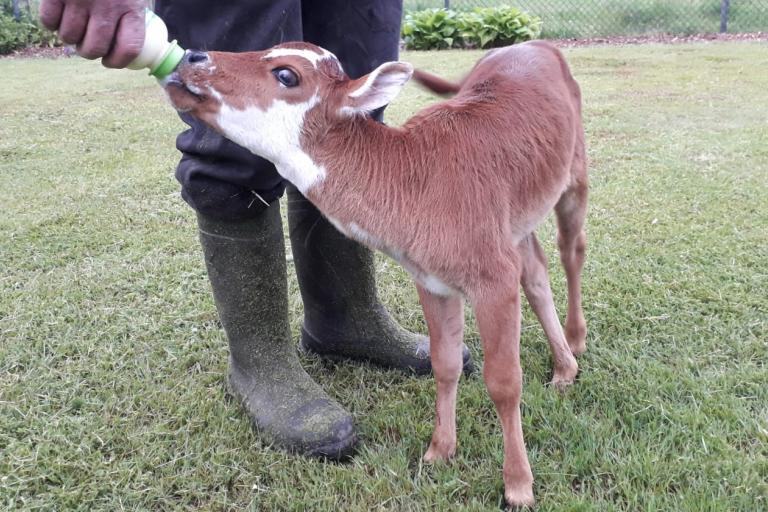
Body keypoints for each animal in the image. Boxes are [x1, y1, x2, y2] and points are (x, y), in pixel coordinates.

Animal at [166, 41, 588, 508]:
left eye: (286, 74)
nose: (193, 57)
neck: (417, 189)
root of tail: (536, 43)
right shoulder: (432, 278)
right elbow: (445, 363)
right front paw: (438, 451)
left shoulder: (491, 275)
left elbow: (504, 380)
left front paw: (518, 487)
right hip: (519, 218)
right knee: (535, 269)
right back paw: (564, 369)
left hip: (575, 171)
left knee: (571, 250)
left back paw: (575, 342)